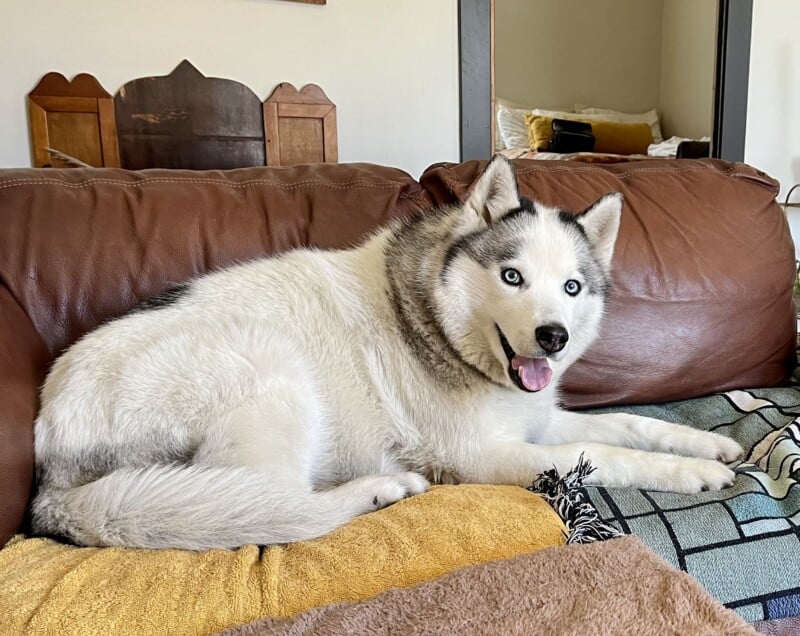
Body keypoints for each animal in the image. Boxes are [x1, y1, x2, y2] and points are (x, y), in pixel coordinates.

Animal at [31, 157, 744, 548]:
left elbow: (629, 423)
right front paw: (692, 475)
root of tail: (49, 457)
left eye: (572, 287)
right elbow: (603, 455)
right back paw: (378, 489)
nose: (553, 337)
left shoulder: (536, 421)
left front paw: (708, 445)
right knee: (277, 509)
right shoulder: (488, 457)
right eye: (512, 276)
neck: (437, 326)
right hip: (270, 371)